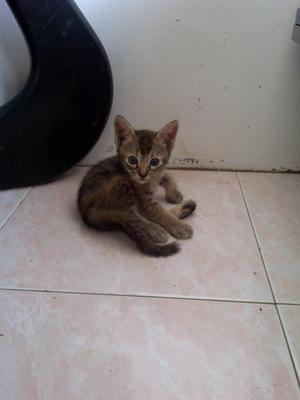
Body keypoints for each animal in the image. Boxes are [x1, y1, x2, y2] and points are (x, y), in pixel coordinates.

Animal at [78, 114, 197, 256]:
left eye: (154, 162)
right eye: (132, 160)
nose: (142, 174)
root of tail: (86, 213)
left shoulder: (156, 175)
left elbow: (168, 176)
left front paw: (174, 195)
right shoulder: (145, 202)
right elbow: (160, 213)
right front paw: (179, 226)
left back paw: (185, 208)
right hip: (120, 183)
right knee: (132, 216)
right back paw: (157, 230)